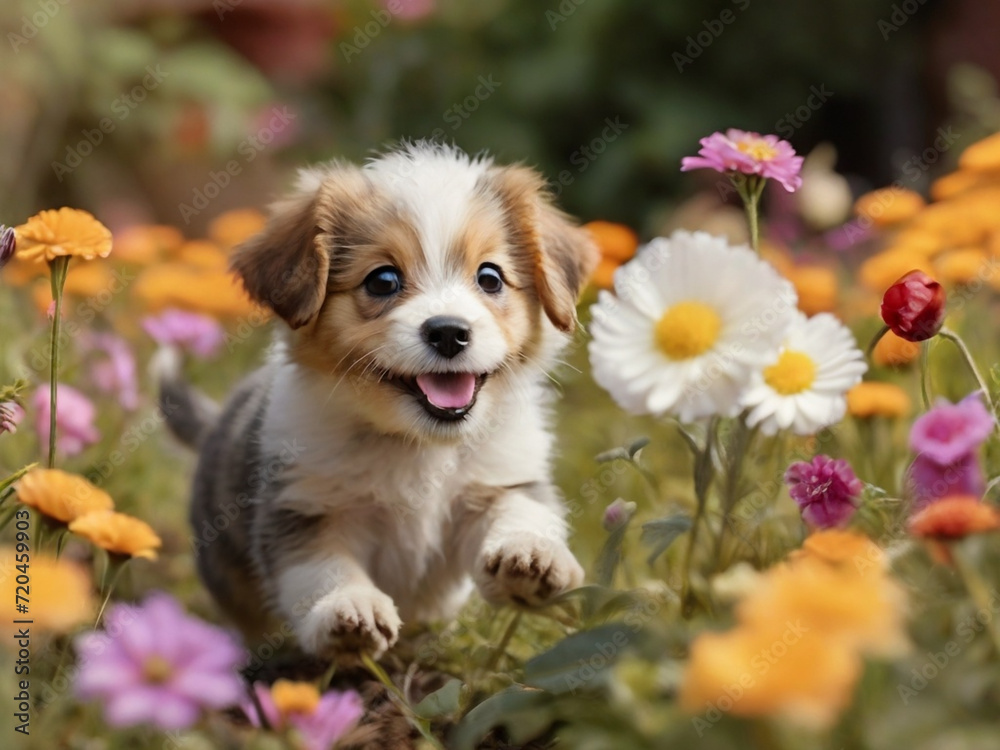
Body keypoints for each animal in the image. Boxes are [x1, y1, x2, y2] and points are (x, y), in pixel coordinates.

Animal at [163, 144, 596, 660]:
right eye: (383, 280)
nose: (449, 332)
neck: (417, 445)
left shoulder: (503, 480)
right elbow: (321, 570)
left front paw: (531, 555)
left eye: (490, 278)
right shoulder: (302, 508)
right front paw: (348, 610)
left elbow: (523, 512)